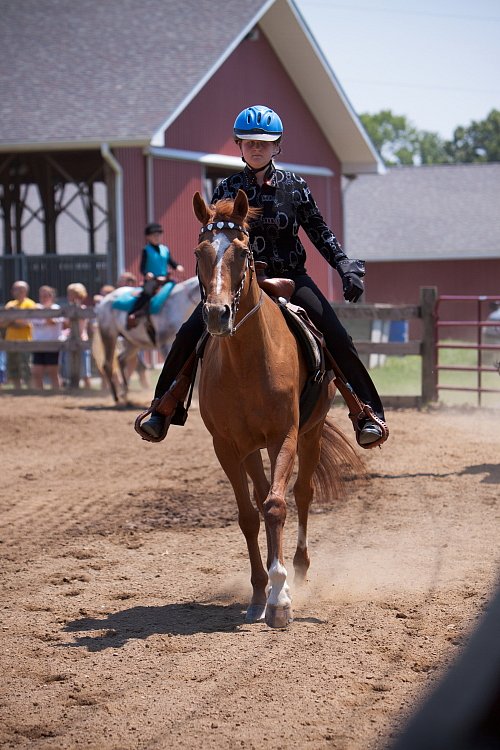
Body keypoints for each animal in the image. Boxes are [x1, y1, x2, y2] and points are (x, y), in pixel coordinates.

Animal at [193, 191, 362, 632]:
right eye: (200, 251)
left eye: (243, 251)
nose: (216, 314)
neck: (246, 363)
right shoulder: (227, 446)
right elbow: (249, 514)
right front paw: (258, 593)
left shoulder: (284, 434)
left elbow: (276, 506)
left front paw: (281, 597)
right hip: (255, 448)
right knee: (264, 495)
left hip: (310, 432)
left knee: (300, 493)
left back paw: (299, 567)